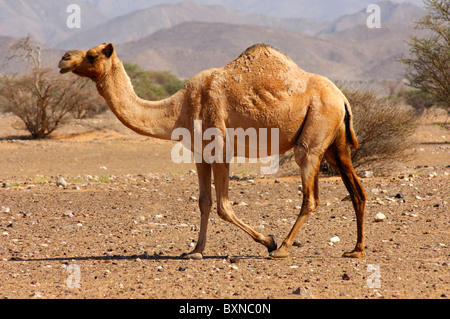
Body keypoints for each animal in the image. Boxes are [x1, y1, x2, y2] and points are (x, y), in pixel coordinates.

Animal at [58, 42, 366, 260]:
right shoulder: (200, 154)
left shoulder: (220, 148)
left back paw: (283, 248)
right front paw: (195, 251)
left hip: (315, 134)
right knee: (356, 191)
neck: (178, 108)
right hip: (335, 144)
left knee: (310, 195)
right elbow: (204, 202)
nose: (64, 58)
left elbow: (223, 206)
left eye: (92, 55)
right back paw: (356, 249)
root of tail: (342, 97)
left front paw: (268, 241)